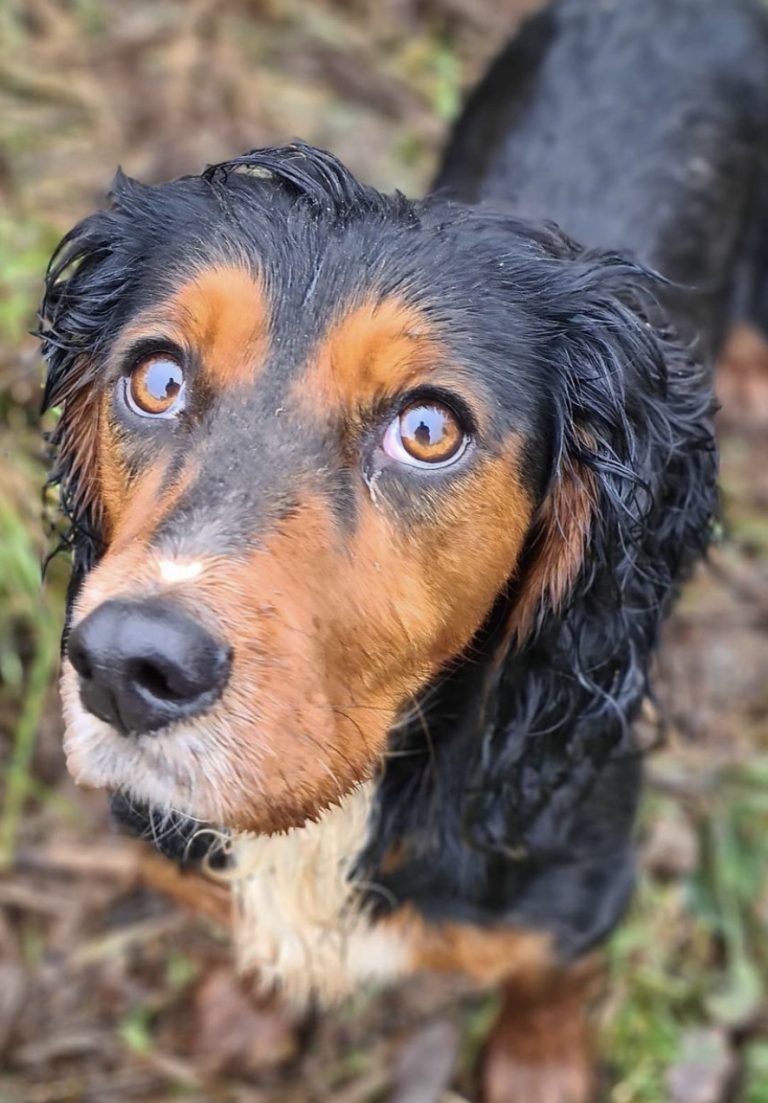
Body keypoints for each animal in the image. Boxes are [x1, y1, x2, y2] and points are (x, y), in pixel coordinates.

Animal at [37, 0, 768, 1098]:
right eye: (156, 379)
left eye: (428, 429)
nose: (126, 664)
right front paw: (248, 1003)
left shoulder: (579, 879)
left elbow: (551, 975)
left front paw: (540, 1063)